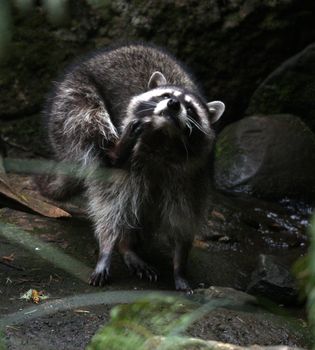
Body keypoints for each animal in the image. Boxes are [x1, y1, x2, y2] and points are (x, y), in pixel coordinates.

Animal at [42, 42, 225, 292]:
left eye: (190, 107)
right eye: (166, 95)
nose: (174, 104)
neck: (162, 140)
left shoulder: (191, 178)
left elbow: (182, 221)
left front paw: (180, 265)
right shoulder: (127, 168)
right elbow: (111, 207)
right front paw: (107, 248)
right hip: (69, 100)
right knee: (89, 121)